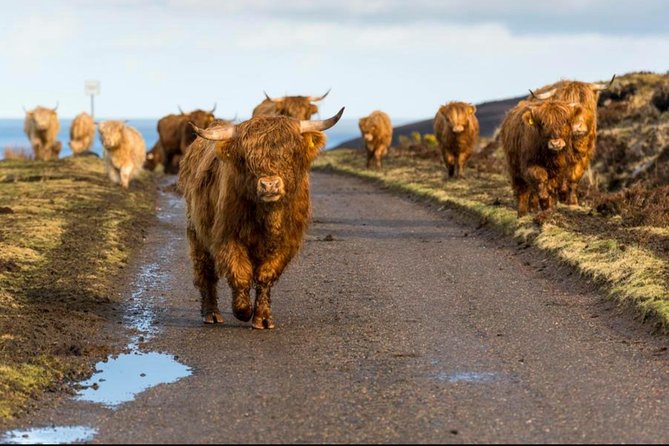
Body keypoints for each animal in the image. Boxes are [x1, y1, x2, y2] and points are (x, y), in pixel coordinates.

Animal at [177, 108, 344, 328]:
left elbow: (266, 276)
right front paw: (242, 311)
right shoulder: (227, 236)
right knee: (205, 271)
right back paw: (211, 314)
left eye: (290, 153)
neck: (269, 217)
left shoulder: (286, 243)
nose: (269, 185)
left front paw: (263, 318)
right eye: (247, 158)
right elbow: (240, 273)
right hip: (196, 232)